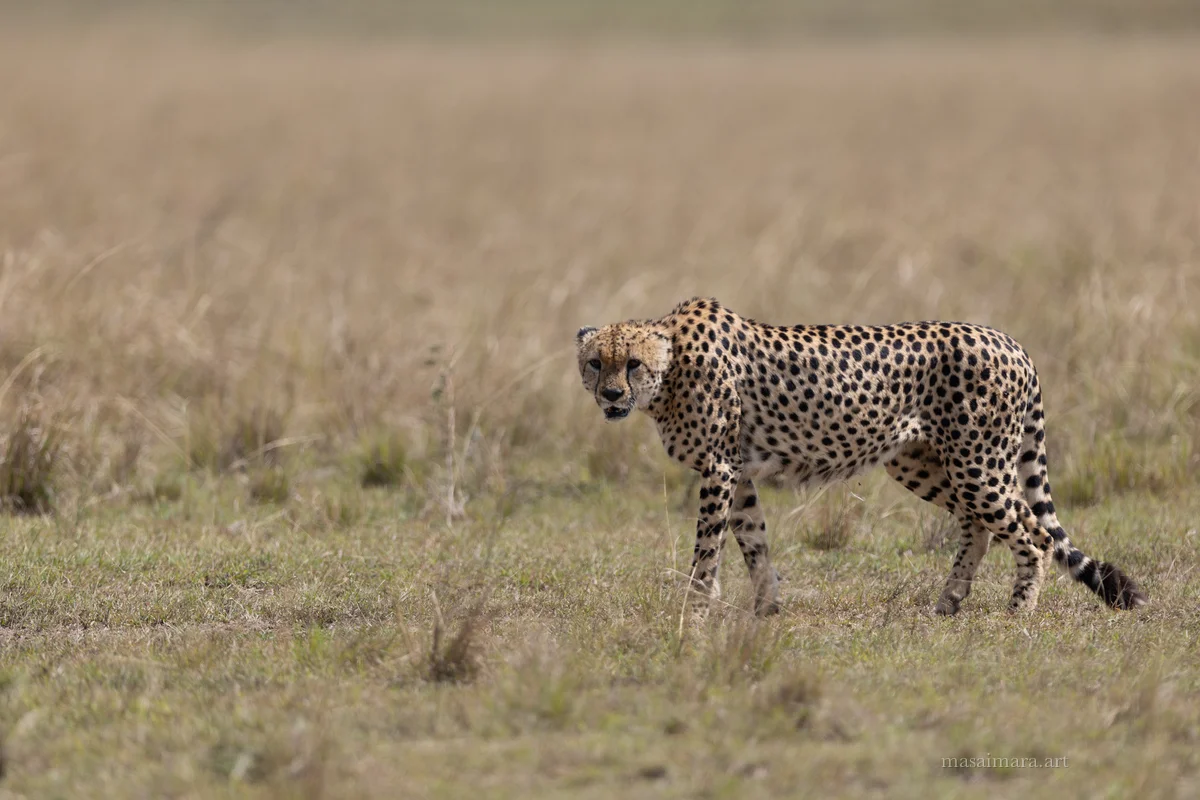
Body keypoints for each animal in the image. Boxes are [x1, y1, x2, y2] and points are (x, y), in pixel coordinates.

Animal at [576, 296, 1147, 618]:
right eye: (594, 362)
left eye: (631, 363)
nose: (610, 395)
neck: (670, 370)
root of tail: (1010, 341)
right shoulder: (737, 473)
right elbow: (754, 542)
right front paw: (767, 608)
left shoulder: (718, 469)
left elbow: (707, 551)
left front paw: (694, 613)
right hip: (923, 463)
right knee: (979, 526)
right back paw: (947, 605)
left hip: (978, 466)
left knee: (1032, 533)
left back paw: (1017, 614)